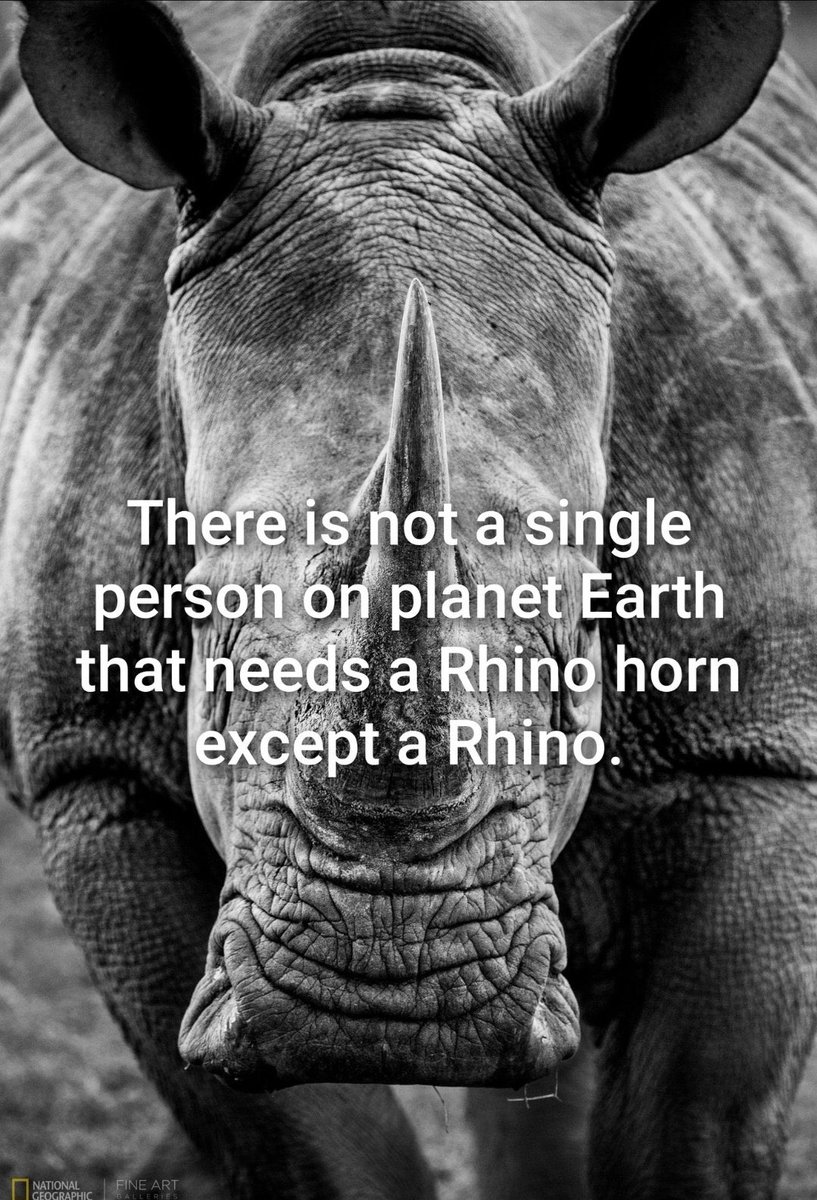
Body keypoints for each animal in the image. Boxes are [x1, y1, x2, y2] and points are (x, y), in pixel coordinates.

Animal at [2, 0, 816, 1195]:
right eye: (201, 628)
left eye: (578, 653)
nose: (384, 994)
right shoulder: (96, 775)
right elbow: (315, 1149)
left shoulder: (754, 750)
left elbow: (696, 1125)